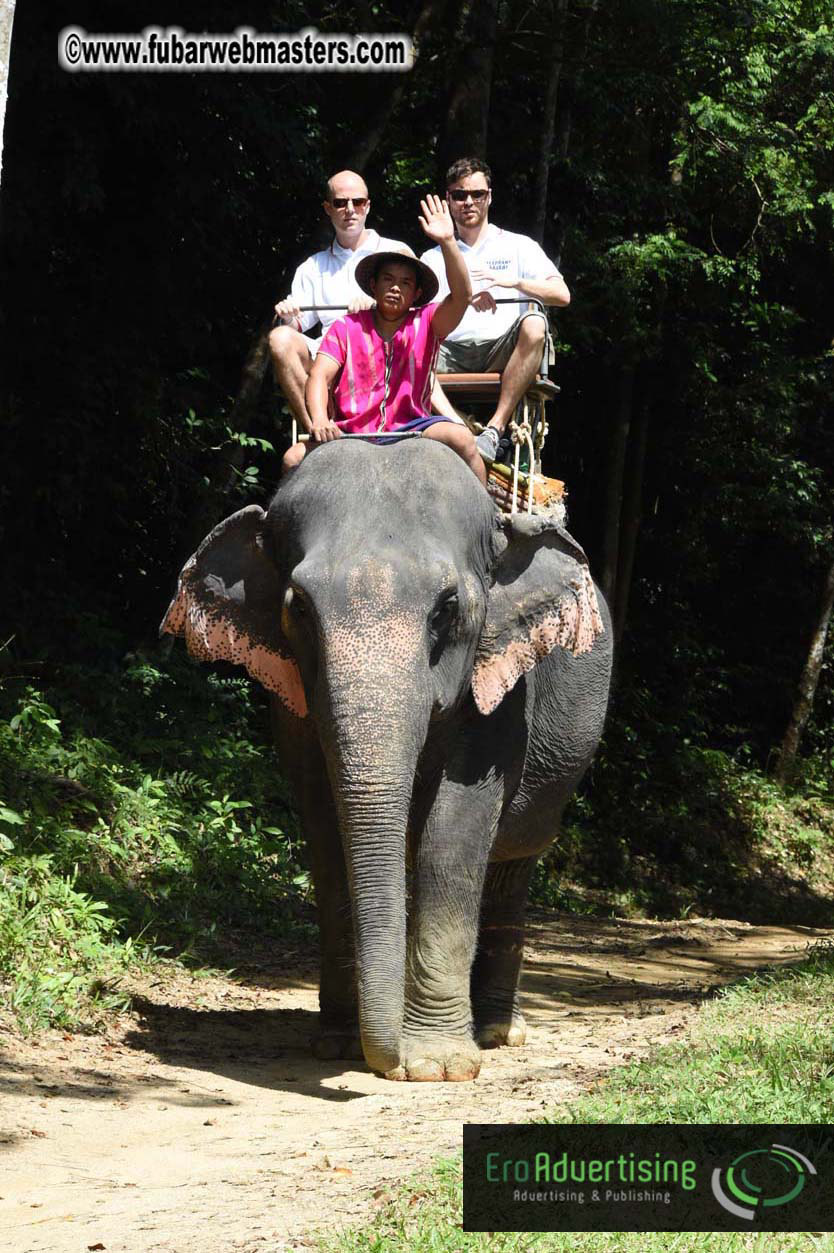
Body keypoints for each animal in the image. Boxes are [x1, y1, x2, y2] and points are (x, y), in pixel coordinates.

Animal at [161, 438, 612, 1081]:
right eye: (299, 608)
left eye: (447, 608)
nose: (387, 1061)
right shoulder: (291, 699)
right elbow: (326, 835)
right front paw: (339, 1045)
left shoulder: (498, 685)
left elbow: (452, 838)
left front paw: (436, 1066)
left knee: (512, 861)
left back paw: (498, 1032)